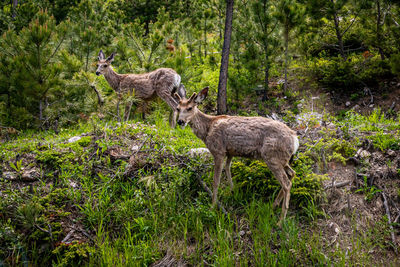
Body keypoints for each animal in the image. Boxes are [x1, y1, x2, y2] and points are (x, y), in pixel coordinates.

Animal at [173, 87, 298, 226]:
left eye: (190, 108)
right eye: (178, 108)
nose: (180, 121)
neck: (207, 130)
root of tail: (295, 139)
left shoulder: (218, 151)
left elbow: (216, 181)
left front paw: (212, 206)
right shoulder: (230, 152)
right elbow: (228, 169)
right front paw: (232, 190)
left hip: (272, 157)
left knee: (286, 183)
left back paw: (281, 221)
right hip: (283, 160)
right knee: (292, 174)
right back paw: (274, 205)